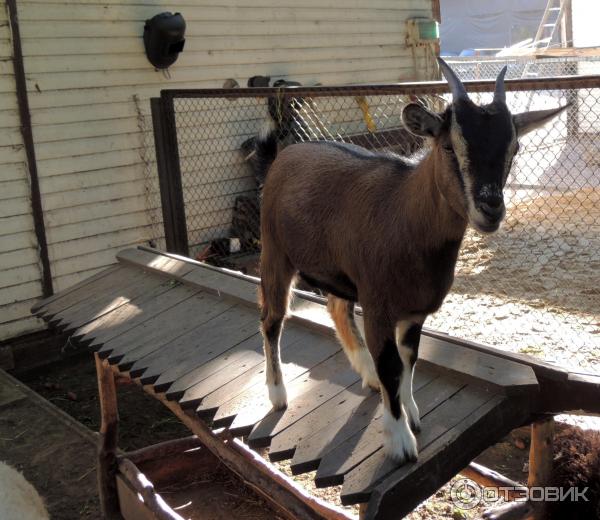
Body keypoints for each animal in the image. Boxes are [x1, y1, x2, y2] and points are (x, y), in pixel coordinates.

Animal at [255, 60, 568, 464]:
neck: (405, 214)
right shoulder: (378, 306)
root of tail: (284, 156)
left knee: (337, 307)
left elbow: (409, 360)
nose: (491, 209)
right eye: (449, 145)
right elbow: (391, 364)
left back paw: (367, 375)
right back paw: (278, 395)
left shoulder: (414, 311)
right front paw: (400, 439)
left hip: (339, 270)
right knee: (272, 319)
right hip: (275, 253)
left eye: (515, 147)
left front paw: (411, 412)